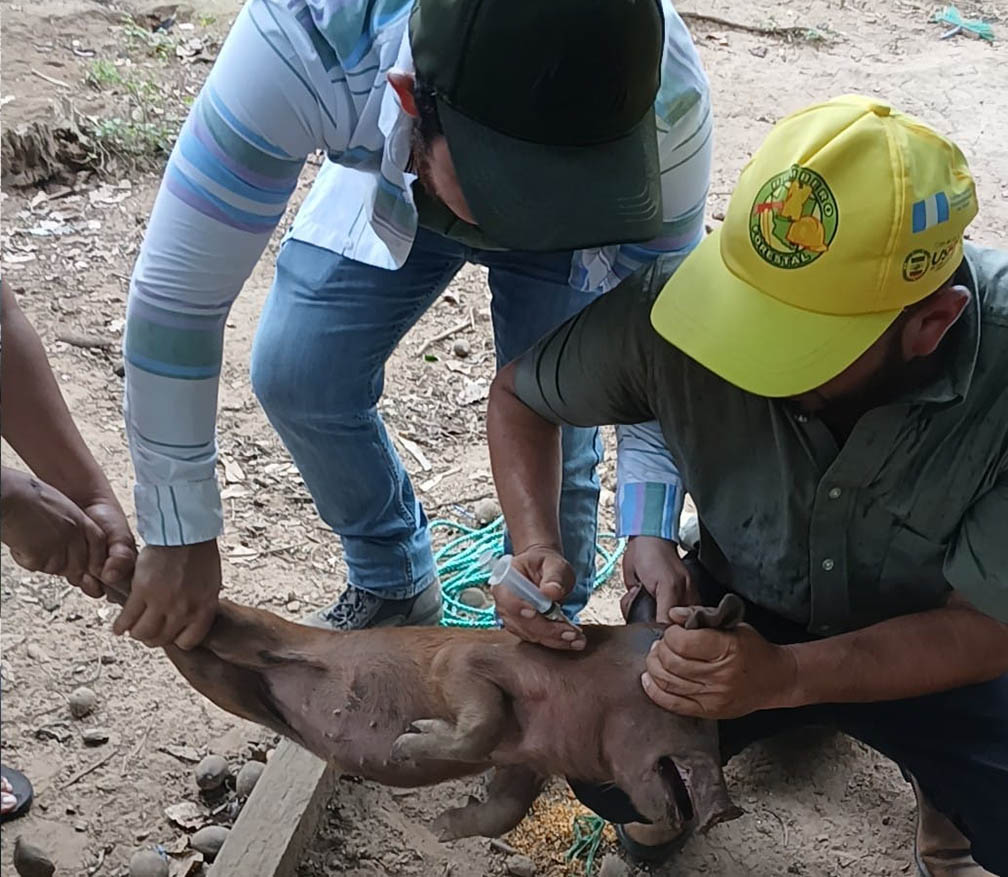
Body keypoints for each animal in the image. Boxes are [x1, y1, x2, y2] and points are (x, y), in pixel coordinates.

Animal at [148, 589, 745, 842]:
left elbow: (504, 809)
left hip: (228, 681)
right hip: (254, 629)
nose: (729, 811)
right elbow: (477, 724)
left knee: (196, 651)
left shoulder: (526, 764)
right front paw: (406, 743)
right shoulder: (467, 664)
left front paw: (441, 831)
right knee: (221, 620)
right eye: (694, 714)